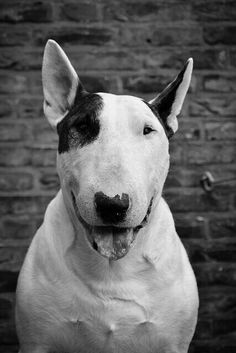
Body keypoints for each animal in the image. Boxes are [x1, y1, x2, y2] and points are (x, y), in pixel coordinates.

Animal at [15, 40, 198, 352]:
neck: (111, 270)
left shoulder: (174, 344)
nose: (113, 204)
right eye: (83, 127)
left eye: (148, 130)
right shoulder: (34, 342)